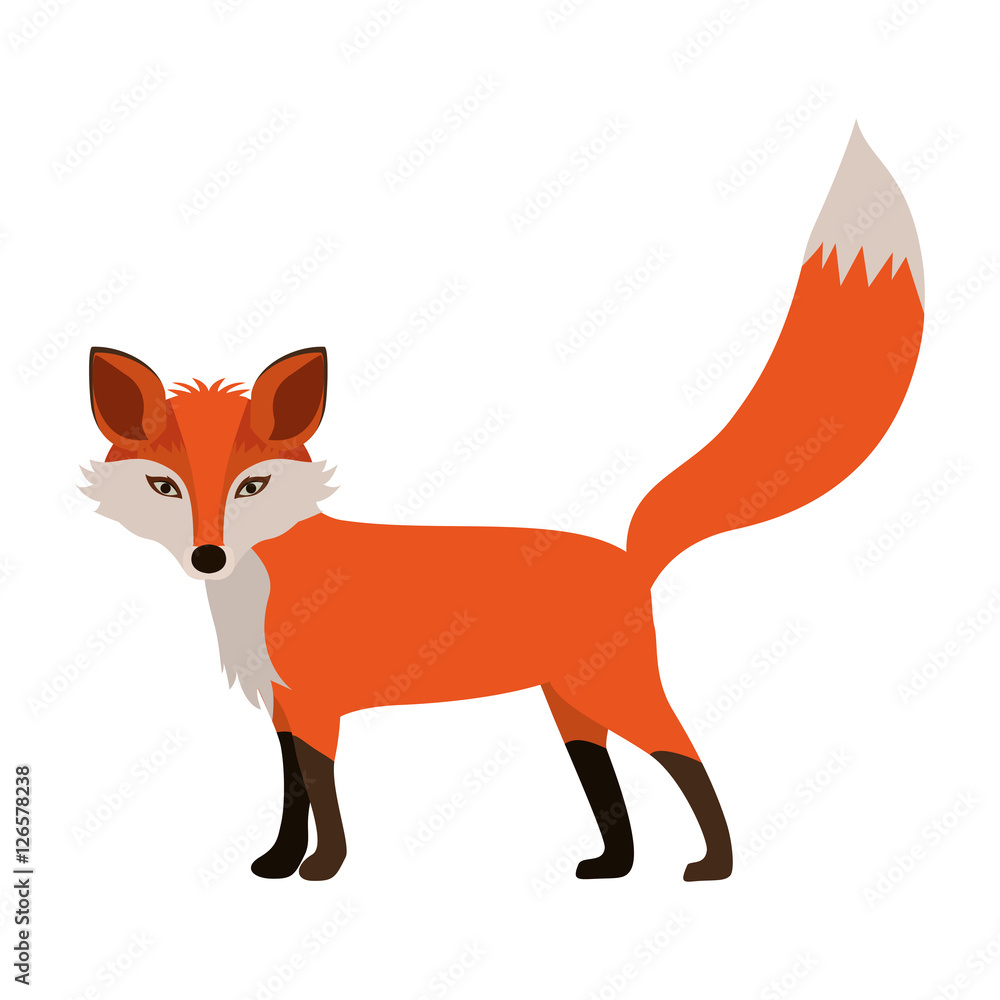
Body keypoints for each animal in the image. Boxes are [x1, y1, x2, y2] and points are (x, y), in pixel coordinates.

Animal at [84, 124, 924, 883]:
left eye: (249, 487)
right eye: (167, 487)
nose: (208, 556)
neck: (257, 590)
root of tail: (627, 556)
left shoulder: (318, 707)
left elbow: (321, 795)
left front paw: (322, 869)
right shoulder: (287, 709)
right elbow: (294, 793)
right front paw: (276, 865)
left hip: (611, 692)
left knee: (687, 756)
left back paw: (713, 866)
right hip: (571, 704)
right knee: (604, 780)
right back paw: (612, 867)